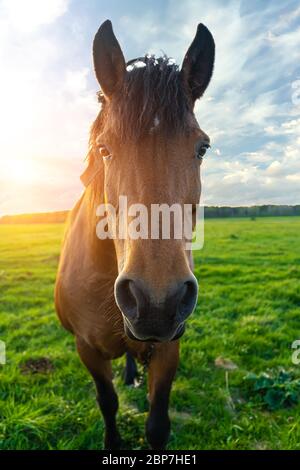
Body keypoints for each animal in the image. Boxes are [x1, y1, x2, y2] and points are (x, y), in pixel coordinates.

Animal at [55, 18, 214, 450]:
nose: (157, 301)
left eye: (203, 148)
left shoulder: (169, 347)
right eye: (104, 149)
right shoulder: (86, 350)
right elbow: (106, 402)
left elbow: (158, 424)